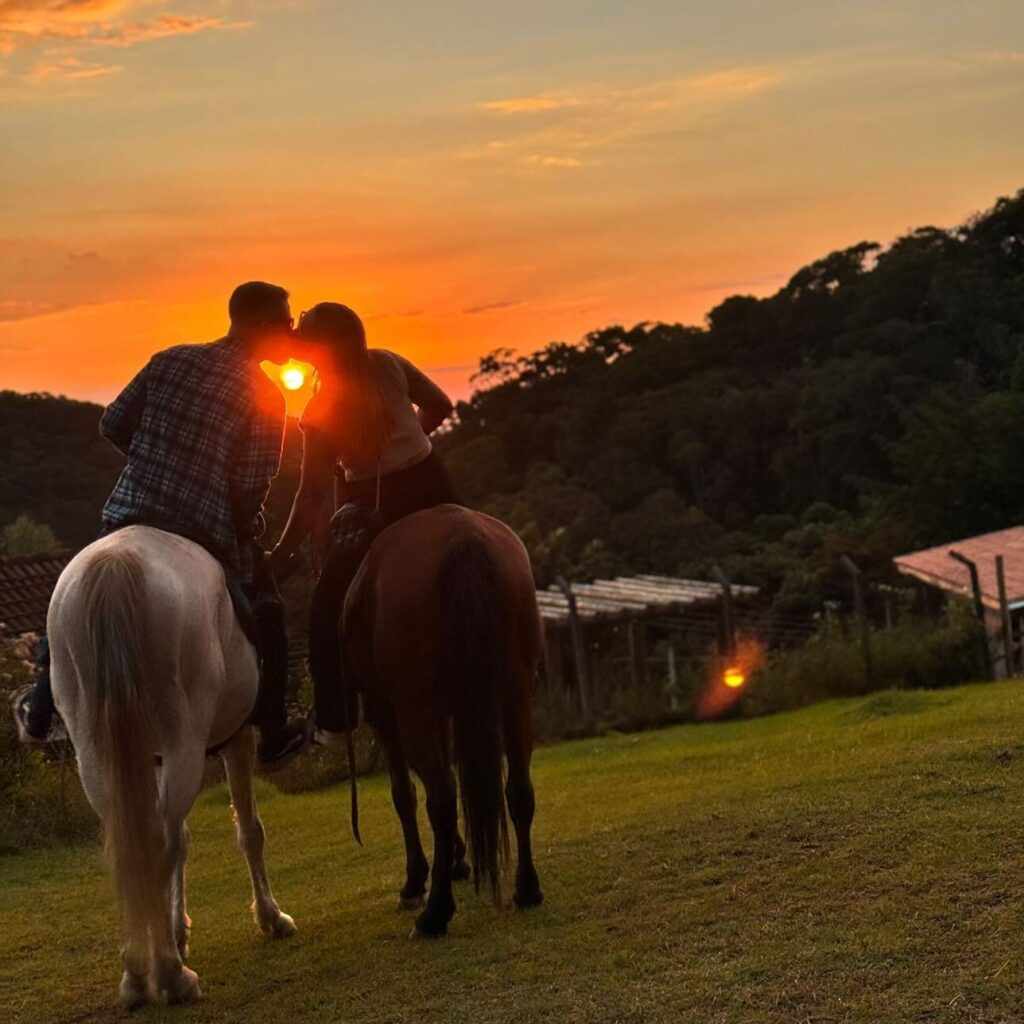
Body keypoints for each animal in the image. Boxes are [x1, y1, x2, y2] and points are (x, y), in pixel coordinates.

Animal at [47, 525, 296, 1009]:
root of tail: (115, 567)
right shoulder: (236, 738)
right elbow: (248, 831)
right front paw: (271, 918)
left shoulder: (154, 758)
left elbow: (180, 839)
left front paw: (178, 932)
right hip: (186, 739)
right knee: (157, 840)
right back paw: (170, 975)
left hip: (97, 751)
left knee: (133, 841)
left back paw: (137, 975)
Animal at [341, 504, 544, 937]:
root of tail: (464, 540)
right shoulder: (446, 714)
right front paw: (456, 859)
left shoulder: (387, 714)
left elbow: (403, 795)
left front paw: (417, 880)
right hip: (515, 696)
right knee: (518, 788)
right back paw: (527, 888)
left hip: (413, 710)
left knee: (442, 797)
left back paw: (435, 912)